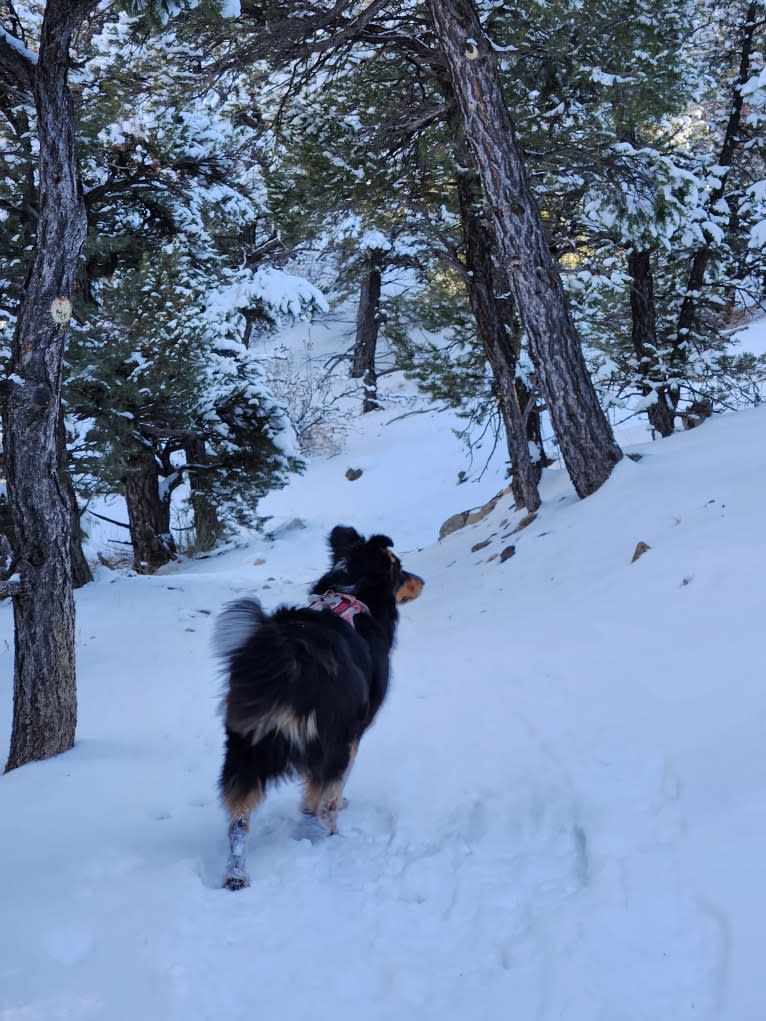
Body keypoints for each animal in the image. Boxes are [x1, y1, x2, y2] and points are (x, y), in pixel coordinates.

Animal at [213, 526, 426, 886]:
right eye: (398, 568)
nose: (423, 581)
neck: (352, 594)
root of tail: (292, 661)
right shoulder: (354, 735)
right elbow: (336, 790)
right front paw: (338, 808)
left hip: (243, 750)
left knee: (238, 822)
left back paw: (236, 876)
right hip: (329, 744)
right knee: (311, 807)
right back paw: (325, 833)